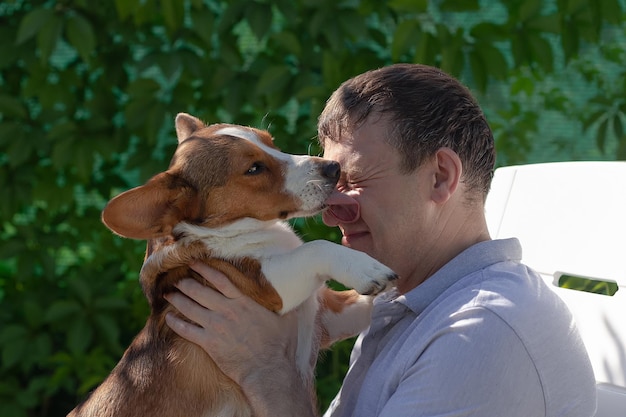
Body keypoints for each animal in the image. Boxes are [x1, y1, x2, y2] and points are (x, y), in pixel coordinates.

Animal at [68, 112, 394, 414]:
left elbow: (360, 304)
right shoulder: (269, 285)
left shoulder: (327, 316)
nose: (334, 168)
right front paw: (367, 268)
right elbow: (316, 249)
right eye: (254, 168)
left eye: (272, 143)